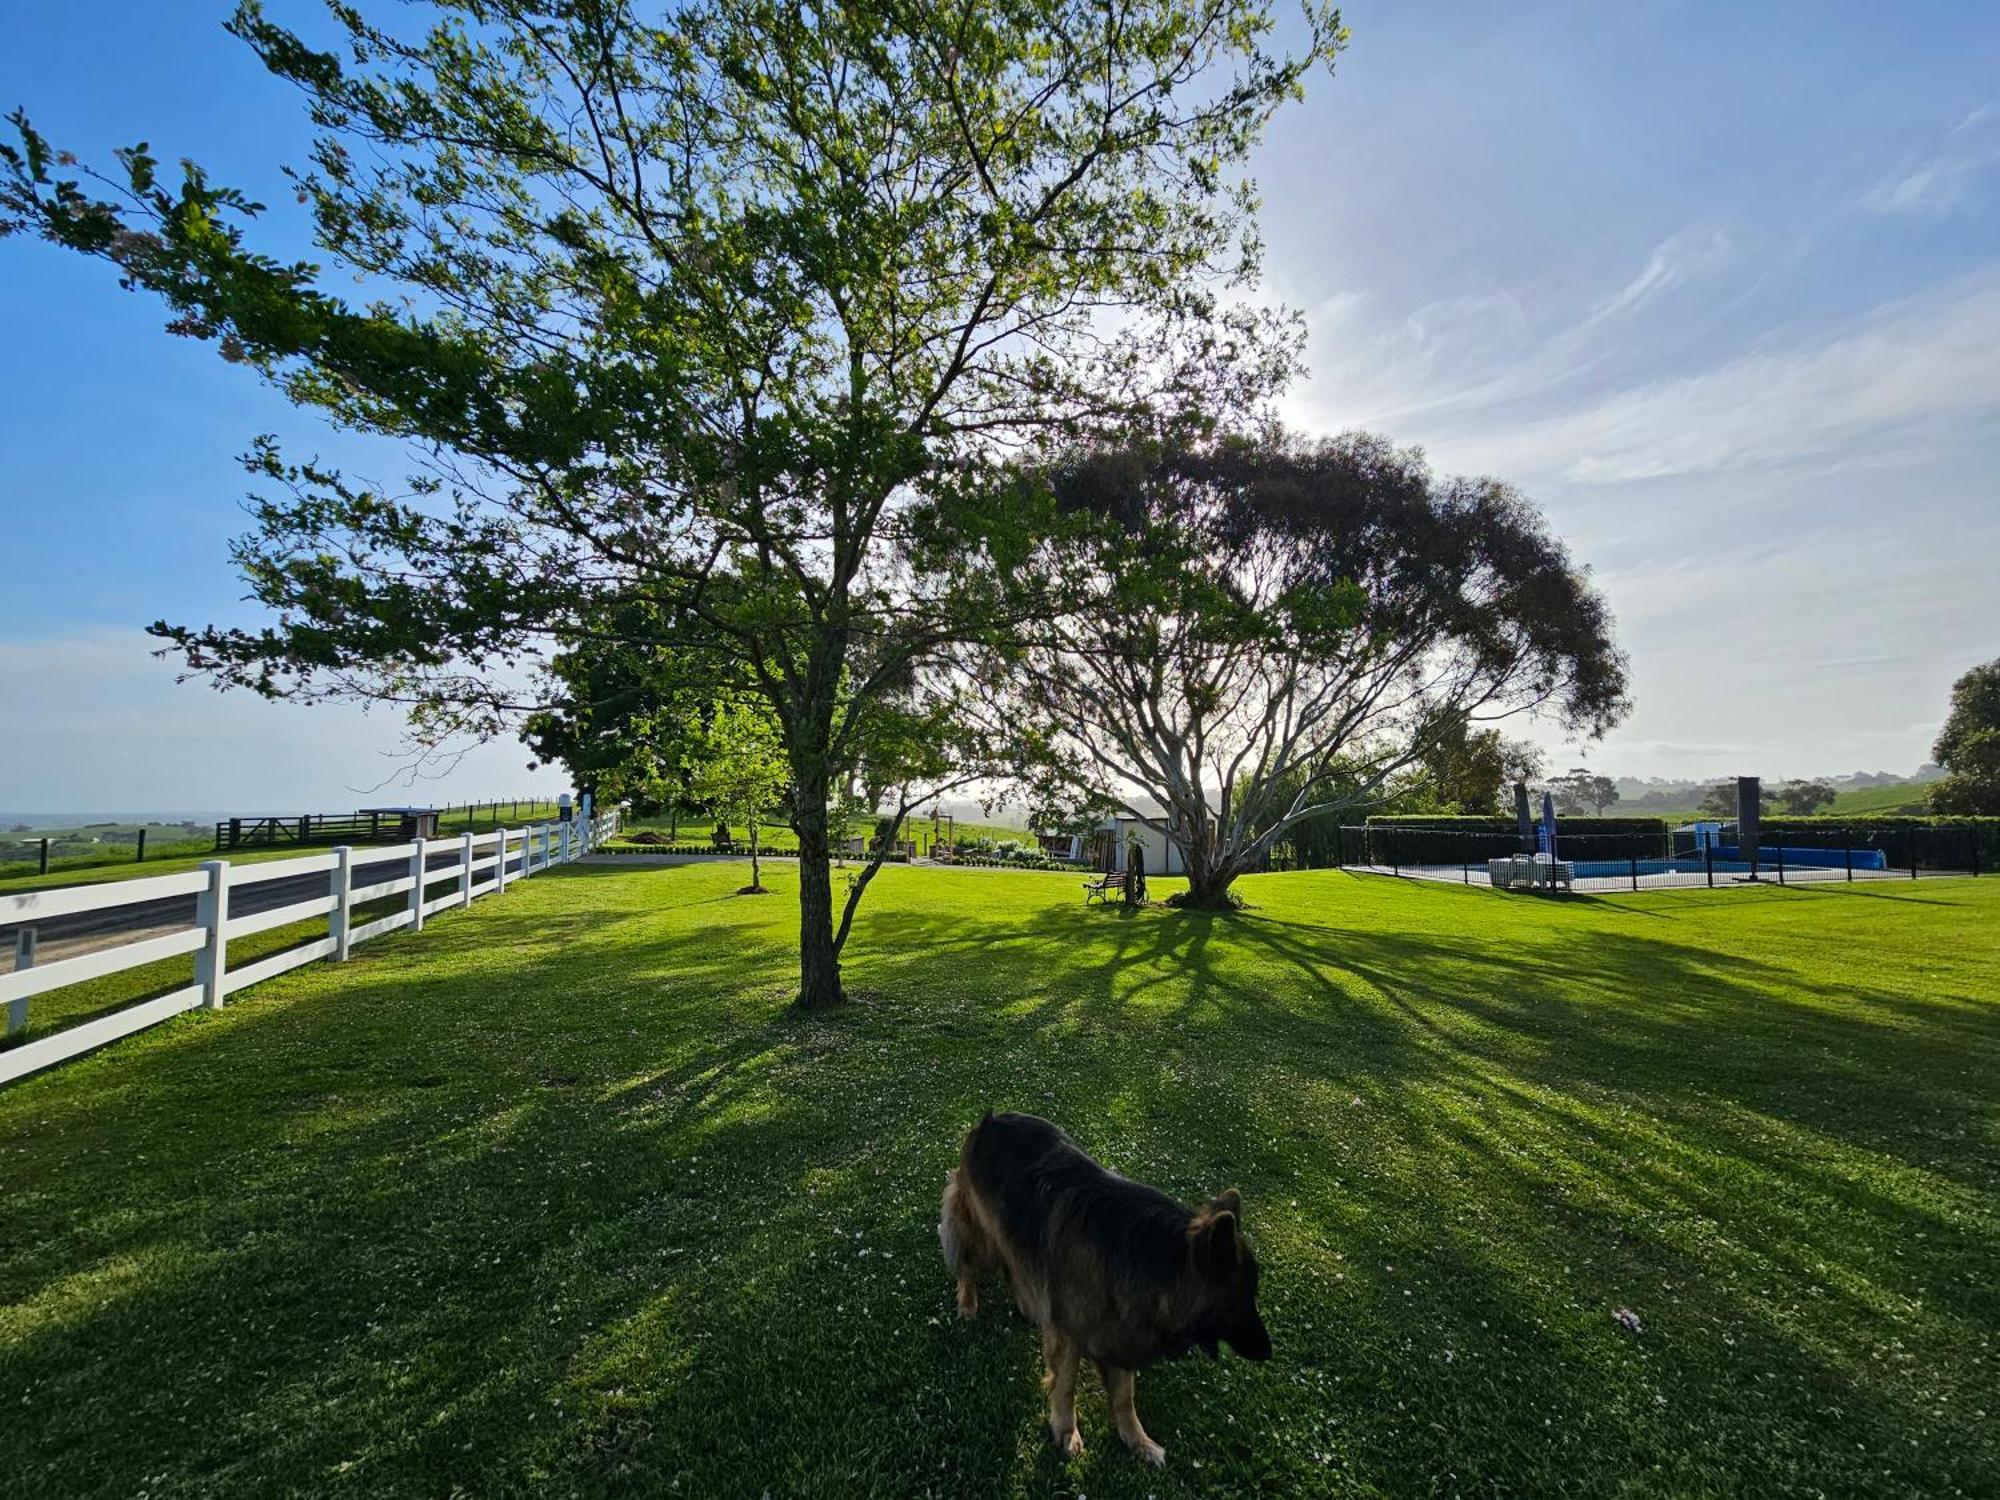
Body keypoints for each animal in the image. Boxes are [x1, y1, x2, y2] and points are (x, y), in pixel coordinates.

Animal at [932, 1120, 1264, 1472]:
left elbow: (1124, 1397)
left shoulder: (1121, 1328)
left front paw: (1137, 1441)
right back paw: (968, 1304)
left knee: (1015, 1271)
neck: (1152, 1257)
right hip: (982, 1238)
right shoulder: (1071, 1334)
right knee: (967, 1264)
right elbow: (1066, 1387)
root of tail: (991, 1120)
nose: (1267, 1352)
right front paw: (1066, 1432)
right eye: (1243, 1298)